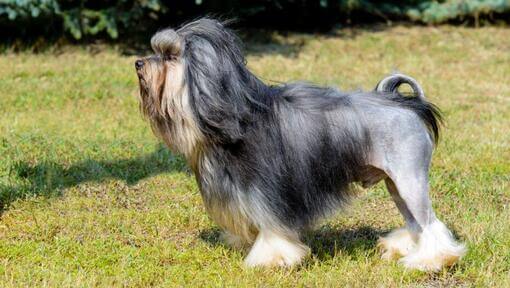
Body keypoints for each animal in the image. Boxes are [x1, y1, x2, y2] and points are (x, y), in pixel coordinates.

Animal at [135, 17, 466, 270]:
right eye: (157, 51)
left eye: (169, 55)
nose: (138, 63)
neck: (233, 113)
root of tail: (405, 103)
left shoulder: (268, 191)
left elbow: (272, 227)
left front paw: (271, 259)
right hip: (396, 184)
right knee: (415, 222)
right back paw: (406, 250)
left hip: (409, 178)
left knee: (430, 223)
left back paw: (432, 261)